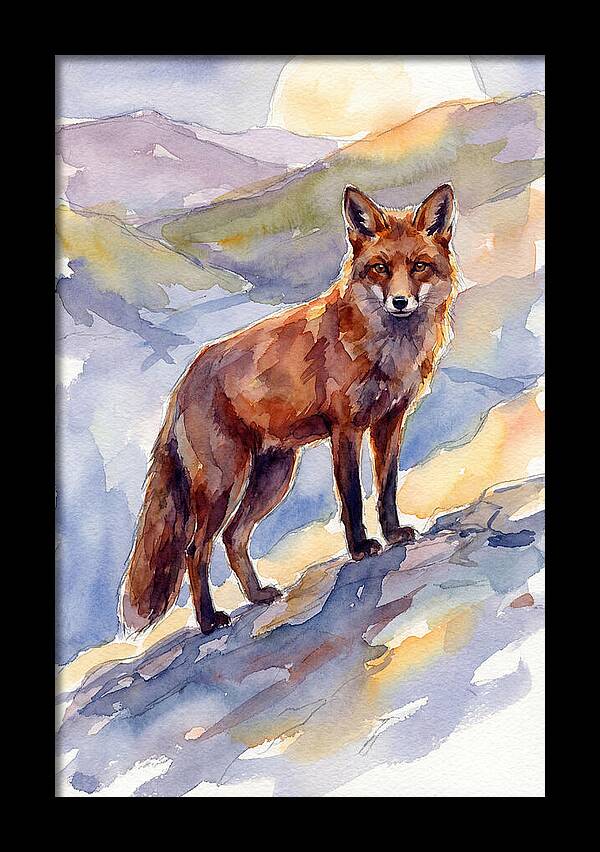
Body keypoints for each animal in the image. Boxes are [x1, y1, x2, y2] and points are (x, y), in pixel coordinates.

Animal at [119, 183, 460, 635]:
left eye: (420, 266)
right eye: (380, 269)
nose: (400, 302)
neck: (388, 350)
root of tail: (184, 381)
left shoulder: (390, 421)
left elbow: (386, 488)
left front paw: (393, 534)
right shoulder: (345, 429)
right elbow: (352, 496)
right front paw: (360, 548)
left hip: (273, 476)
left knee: (233, 537)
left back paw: (257, 595)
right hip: (223, 482)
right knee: (196, 547)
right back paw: (209, 621)